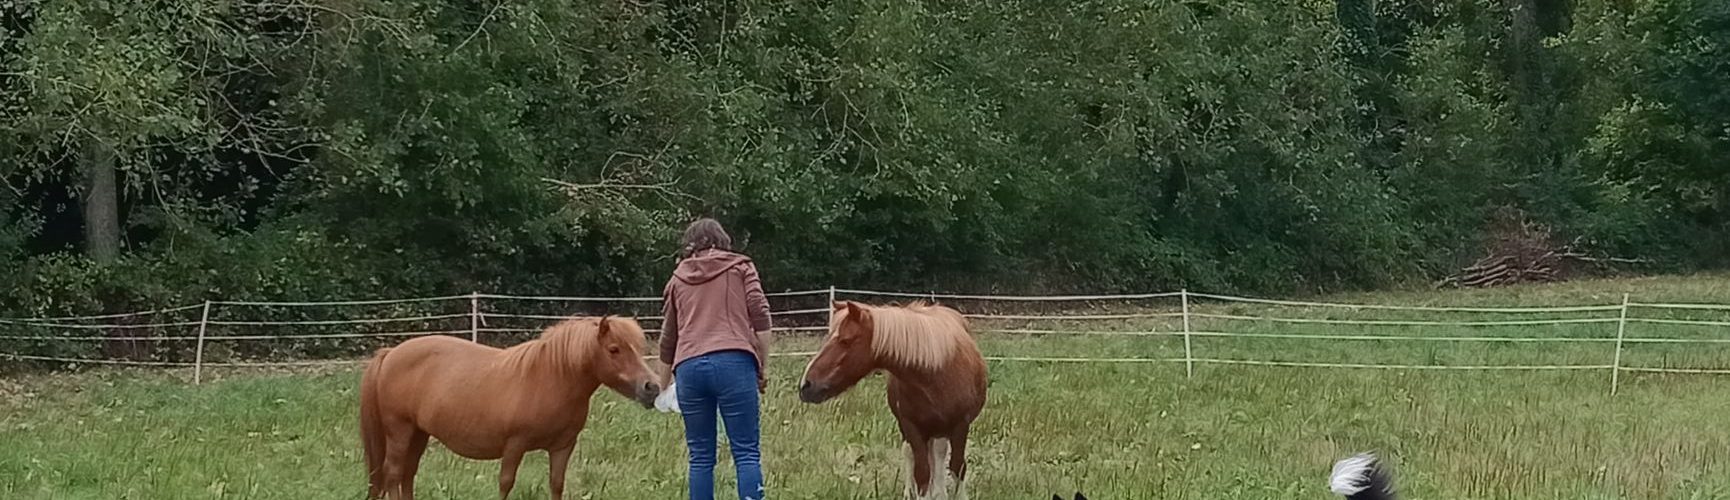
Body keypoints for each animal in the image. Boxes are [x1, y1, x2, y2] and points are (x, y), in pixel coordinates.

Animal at [358, 314, 660, 498]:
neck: (550, 377)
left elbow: (556, 484)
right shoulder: (514, 445)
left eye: (638, 348)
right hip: (400, 431)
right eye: (614, 349)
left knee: (407, 474)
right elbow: (506, 483)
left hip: (418, 433)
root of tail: (390, 353)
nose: (652, 387)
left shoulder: (562, 447)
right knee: (393, 474)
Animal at [795, 299, 989, 498]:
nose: (806, 385)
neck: (935, 374)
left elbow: (957, 468)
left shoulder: (961, 426)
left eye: (846, 340)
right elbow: (922, 473)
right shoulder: (912, 427)